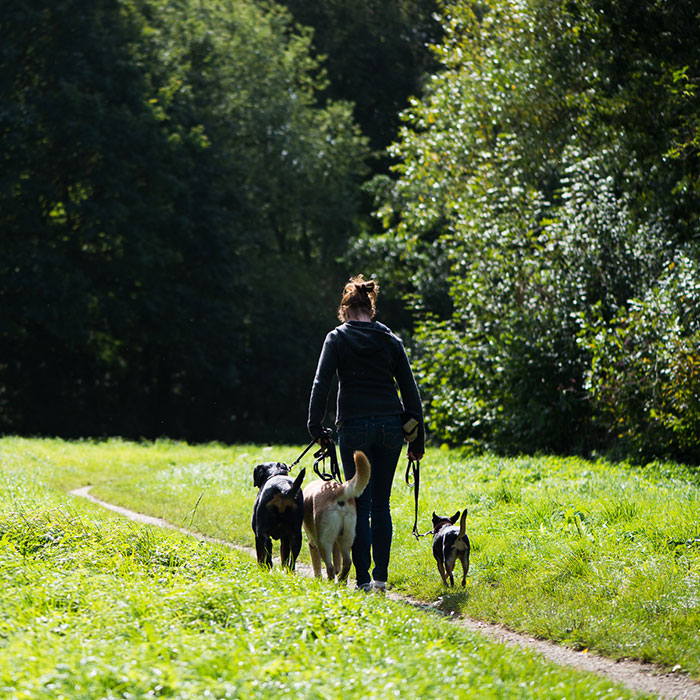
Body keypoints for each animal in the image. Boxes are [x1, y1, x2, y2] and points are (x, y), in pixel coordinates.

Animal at [304, 452, 374, 584]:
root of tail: (339, 490)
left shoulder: (312, 543)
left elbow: (317, 566)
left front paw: (318, 580)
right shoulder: (336, 544)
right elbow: (338, 562)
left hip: (323, 542)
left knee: (330, 567)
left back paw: (330, 584)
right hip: (346, 538)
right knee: (347, 563)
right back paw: (341, 582)